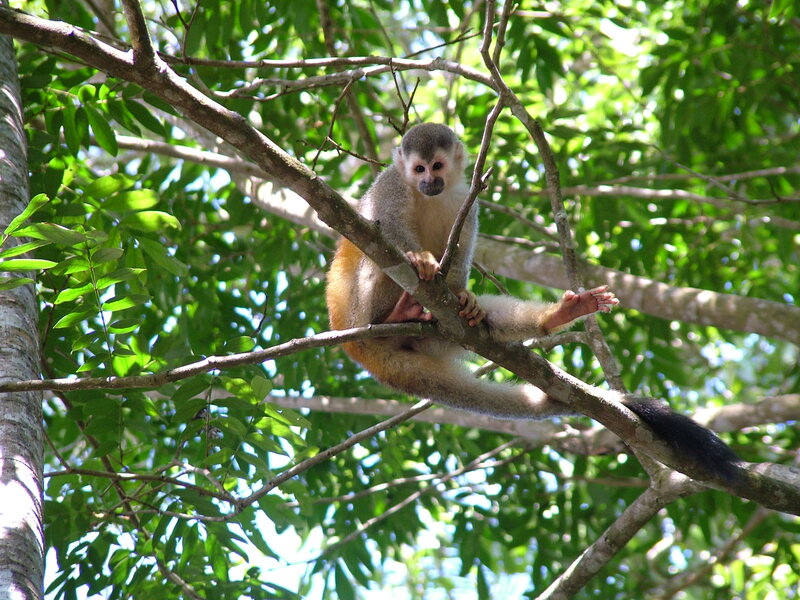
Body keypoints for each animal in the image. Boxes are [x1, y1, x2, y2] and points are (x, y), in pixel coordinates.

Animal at [326, 123, 740, 479]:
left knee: (466, 321)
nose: (429, 181)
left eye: (438, 166)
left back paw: (553, 317)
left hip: (434, 338)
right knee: (375, 248)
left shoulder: (466, 198)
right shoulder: (392, 183)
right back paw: (394, 311)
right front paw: (421, 259)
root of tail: (360, 350)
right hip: (361, 315)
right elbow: (387, 224)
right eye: (418, 169)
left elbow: (460, 254)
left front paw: (462, 294)